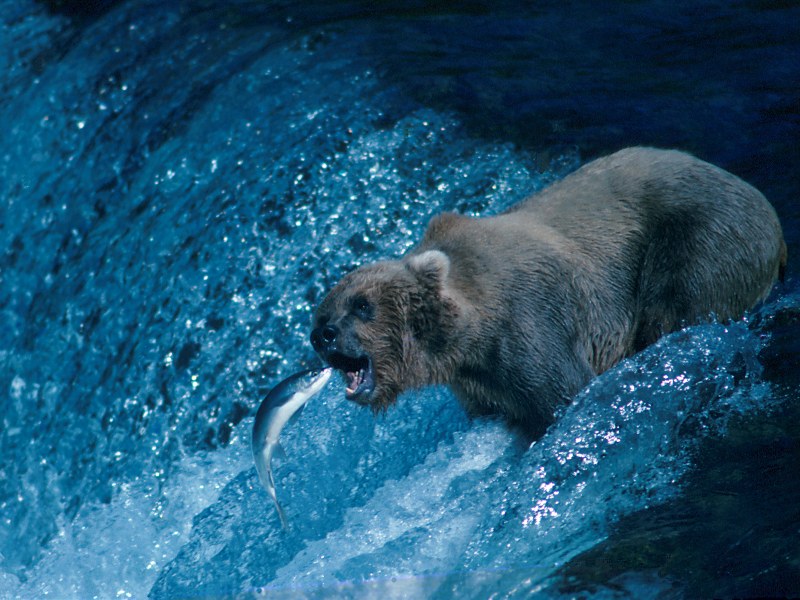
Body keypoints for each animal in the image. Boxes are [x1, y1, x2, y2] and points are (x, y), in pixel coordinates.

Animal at [310, 146, 784, 436]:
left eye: (362, 306)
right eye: (323, 312)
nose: (323, 335)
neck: (465, 339)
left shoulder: (530, 329)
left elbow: (564, 393)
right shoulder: (479, 384)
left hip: (700, 238)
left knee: (677, 310)